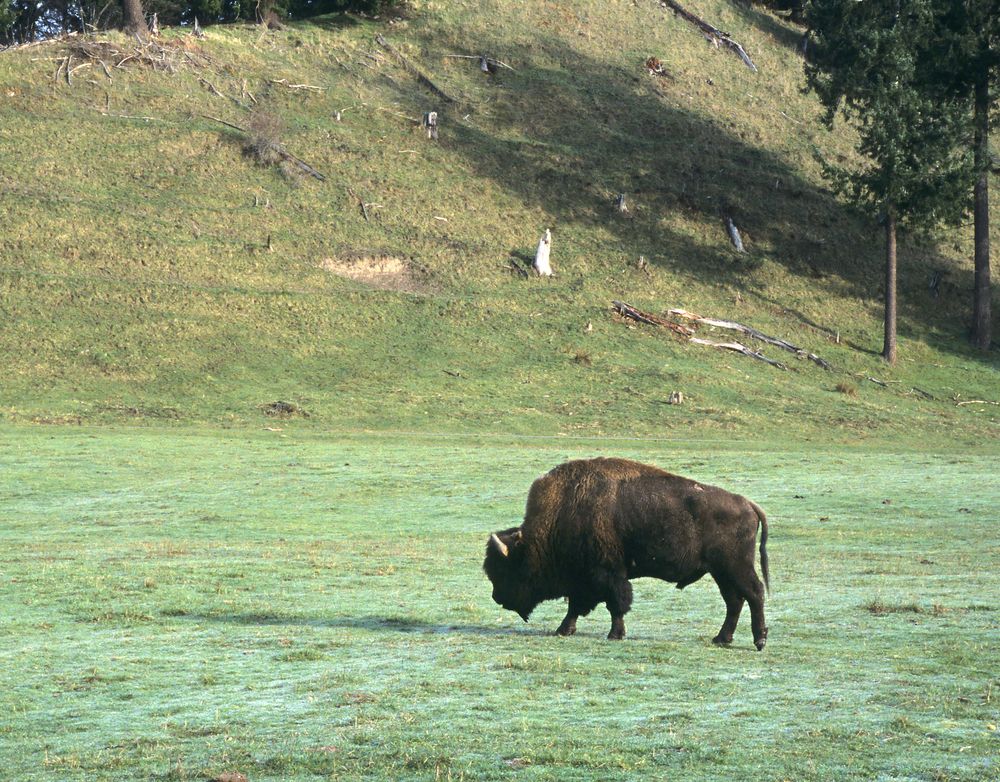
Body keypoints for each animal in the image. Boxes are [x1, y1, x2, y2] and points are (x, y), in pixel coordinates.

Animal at [483, 458, 770, 650]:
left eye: (506, 569)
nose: (497, 598)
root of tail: (748, 504)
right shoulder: (584, 579)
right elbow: (577, 605)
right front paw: (564, 630)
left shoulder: (607, 574)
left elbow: (615, 604)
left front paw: (614, 634)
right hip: (720, 571)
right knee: (734, 601)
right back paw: (721, 639)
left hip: (736, 566)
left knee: (754, 593)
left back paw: (759, 640)